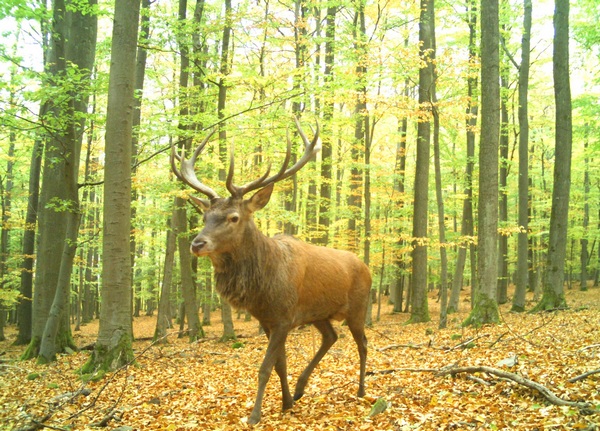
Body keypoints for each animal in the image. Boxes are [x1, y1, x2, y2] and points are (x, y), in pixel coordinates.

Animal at [171, 117, 371, 425]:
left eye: (233, 217)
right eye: (204, 217)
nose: (197, 244)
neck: (262, 289)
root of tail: (367, 268)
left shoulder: (284, 317)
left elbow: (265, 367)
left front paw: (254, 415)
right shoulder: (269, 320)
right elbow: (280, 364)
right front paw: (286, 403)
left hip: (358, 308)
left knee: (362, 343)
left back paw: (361, 390)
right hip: (319, 313)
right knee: (331, 337)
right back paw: (301, 389)